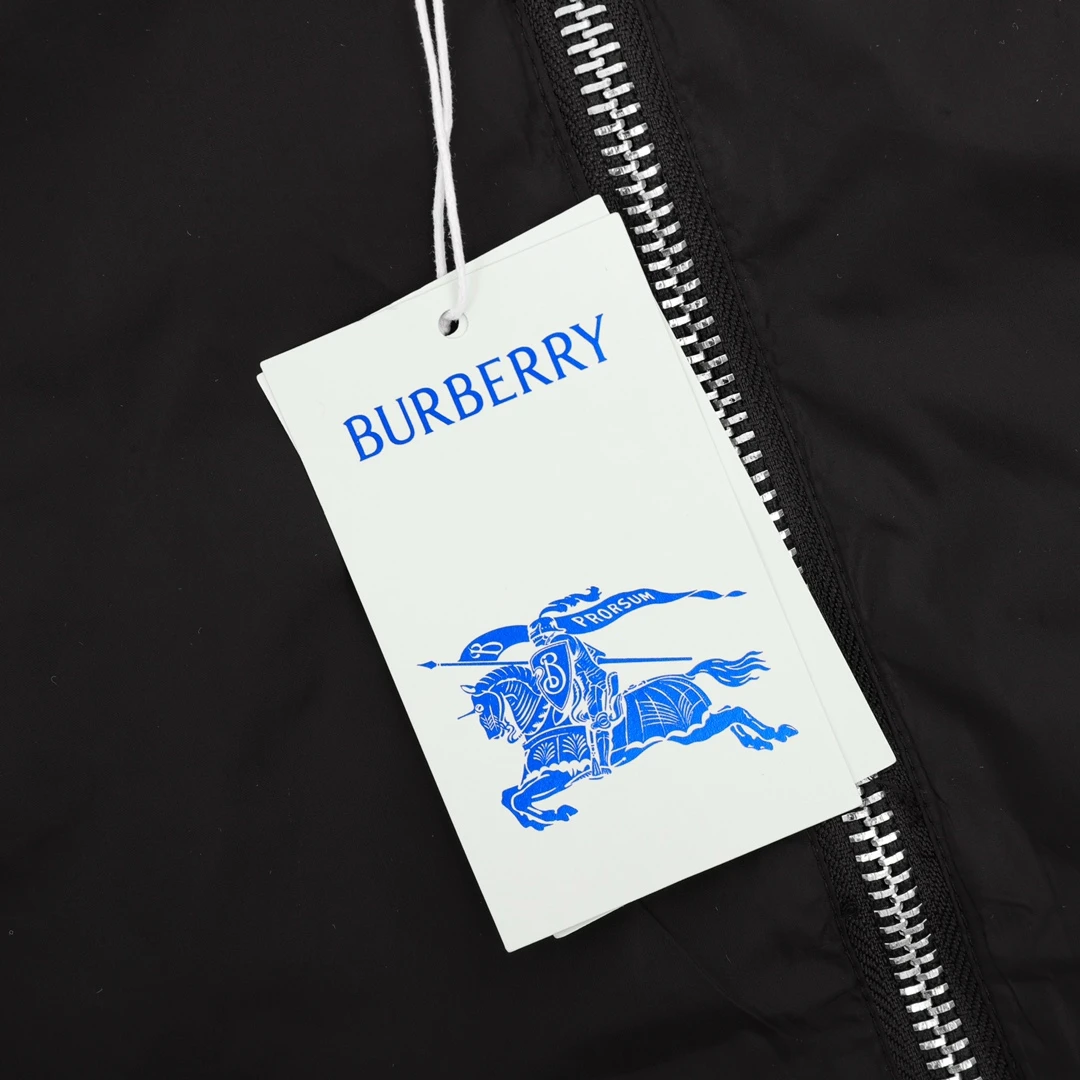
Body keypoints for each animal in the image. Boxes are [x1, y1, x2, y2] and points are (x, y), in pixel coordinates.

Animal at [460, 652, 798, 830]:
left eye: (482, 708)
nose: (493, 733)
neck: (547, 722)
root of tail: (687, 676)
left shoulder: (560, 775)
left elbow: (517, 799)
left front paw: (553, 815)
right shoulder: (543, 778)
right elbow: (509, 796)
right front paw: (539, 821)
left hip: (693, 728)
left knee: (734, 712)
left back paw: (775, 733)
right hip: (695, 731)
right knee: (729, 715)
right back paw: (758, 741)